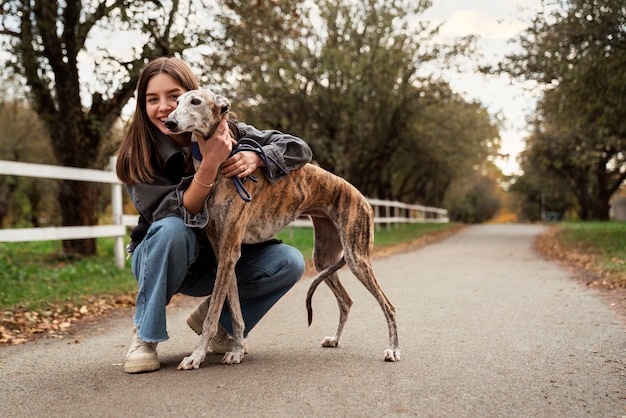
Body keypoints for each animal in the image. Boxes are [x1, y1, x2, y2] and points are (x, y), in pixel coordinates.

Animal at [165, 88, 400, 370]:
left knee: (388, 305)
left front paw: (196, 356)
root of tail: (363, 199)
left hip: (357, 257)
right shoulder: (225, 252)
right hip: (323, 258)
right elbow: (235, 311)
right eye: (176, 101)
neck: (220, 166)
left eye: (196, 101)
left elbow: (213, 315)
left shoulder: (230, 251)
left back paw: (393, 349)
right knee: (346, 300)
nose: (169, 122)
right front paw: (236, 351)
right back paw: (335, 339)